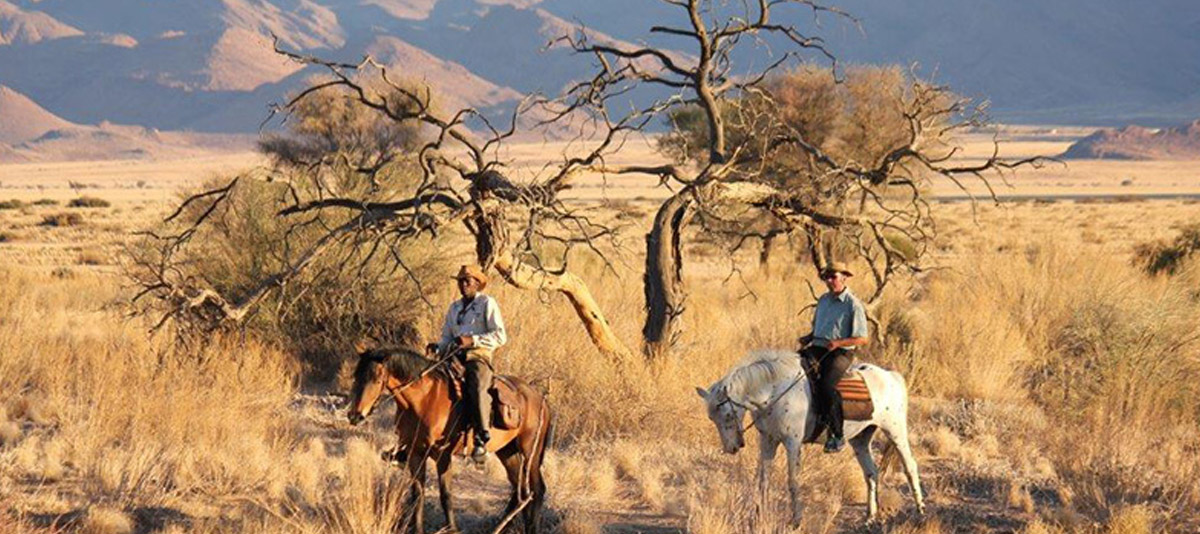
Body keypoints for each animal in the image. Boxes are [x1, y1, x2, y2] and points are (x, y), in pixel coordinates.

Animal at [348, 345, 552, 532]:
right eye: (356, 377)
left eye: (376, 380)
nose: (354, 416)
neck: (425, 399)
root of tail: (539, 398)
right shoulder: (415, 453)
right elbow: (417, 496)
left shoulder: (443, 455)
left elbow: (446, 495)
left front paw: (452, 529)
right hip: (507, 451)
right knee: (519, 490)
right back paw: (501, 526)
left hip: (530, 452)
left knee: (536, 489)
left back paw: (530, 527)